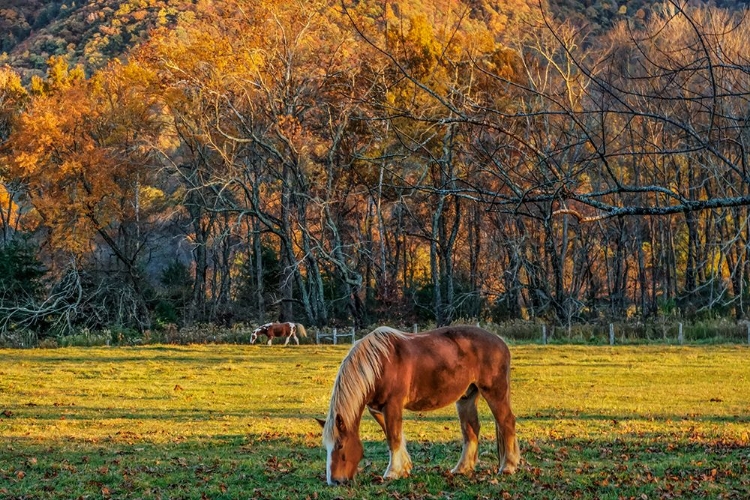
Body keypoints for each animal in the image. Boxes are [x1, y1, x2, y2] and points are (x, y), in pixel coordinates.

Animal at [318, 324, 524, 484]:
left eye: (340, 446)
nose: (334, 481)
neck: (380, 363)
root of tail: (500, 342)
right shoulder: (377, 409)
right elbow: (394, 435)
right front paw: (405, 467)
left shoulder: (392, 405)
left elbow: (393, 437)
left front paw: (392, 472)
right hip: (466, 397)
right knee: (471, 429)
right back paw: (462, 469)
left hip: (494, 392)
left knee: (506, 422)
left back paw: (508, 466)